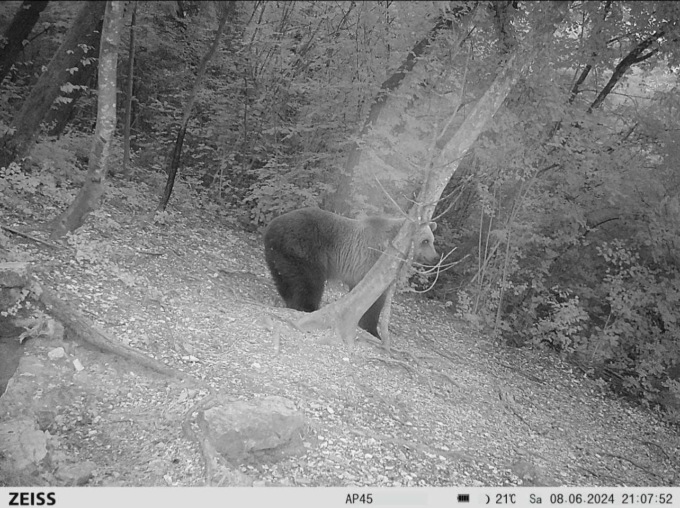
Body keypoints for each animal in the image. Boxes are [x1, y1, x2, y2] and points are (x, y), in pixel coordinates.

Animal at [263, 207, 438, 338]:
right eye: (425, 241)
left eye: (432, 240)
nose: (435, 258)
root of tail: (272, 226)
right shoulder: (373, 262)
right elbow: (373, 300)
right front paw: (372, 330)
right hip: (304, 249)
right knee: (310, 283)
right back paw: (308, 307)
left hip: (280, 256)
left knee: (286, 279)